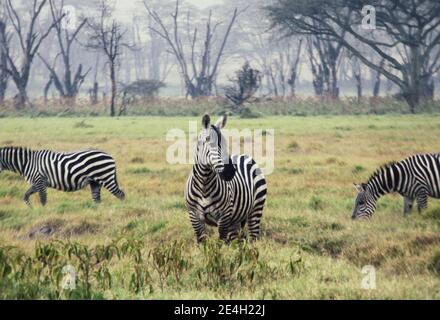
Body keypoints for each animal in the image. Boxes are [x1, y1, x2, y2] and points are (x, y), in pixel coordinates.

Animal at [184, 114, 266, 242]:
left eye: (225, 143)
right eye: (209, 141)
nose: (229, 172)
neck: (204, 185)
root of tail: (244, 156)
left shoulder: (224, 216)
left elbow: (221, 242)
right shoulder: (194, 216)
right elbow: (202, 241)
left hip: (256, 208)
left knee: (253, 237)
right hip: (236, 219)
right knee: (236, 239)